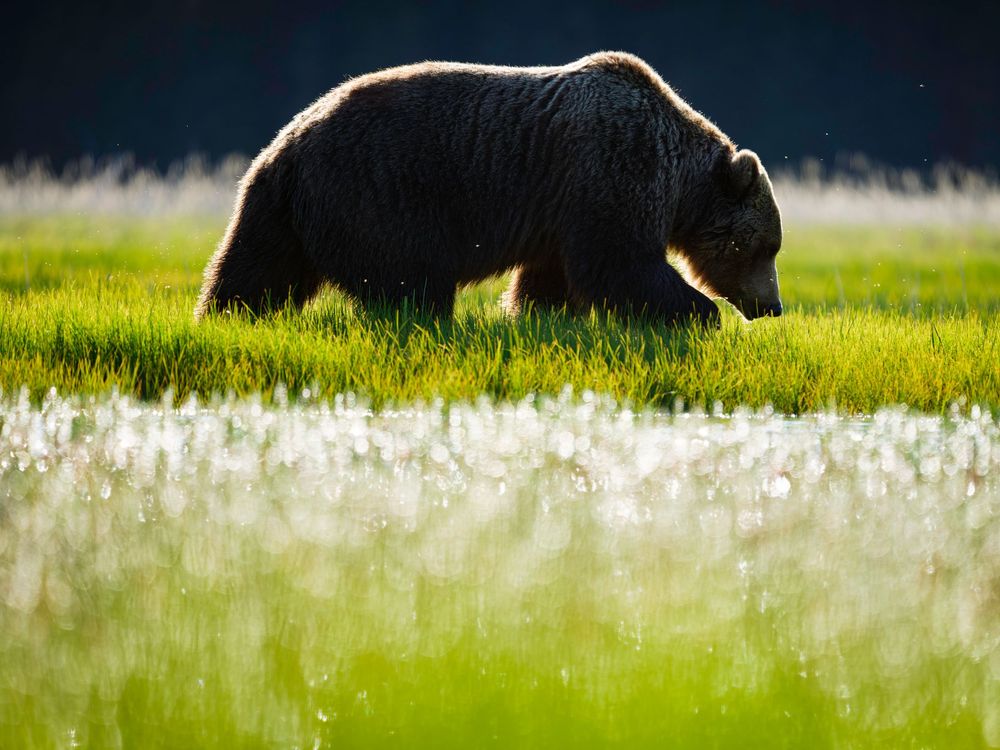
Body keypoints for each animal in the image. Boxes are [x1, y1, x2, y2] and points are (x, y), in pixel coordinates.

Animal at [195, 51, 783, 324]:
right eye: (763, 246)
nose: (773, 307)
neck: (680, 182)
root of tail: (289, 143)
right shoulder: (613, 170)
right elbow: (621, 262)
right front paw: (699, 314)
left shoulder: (562, 209)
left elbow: (552, 278)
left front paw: (537, 315)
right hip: (377, 192)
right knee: (410, 280)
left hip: (278, 209)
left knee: (255, 270)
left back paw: (222, 316)